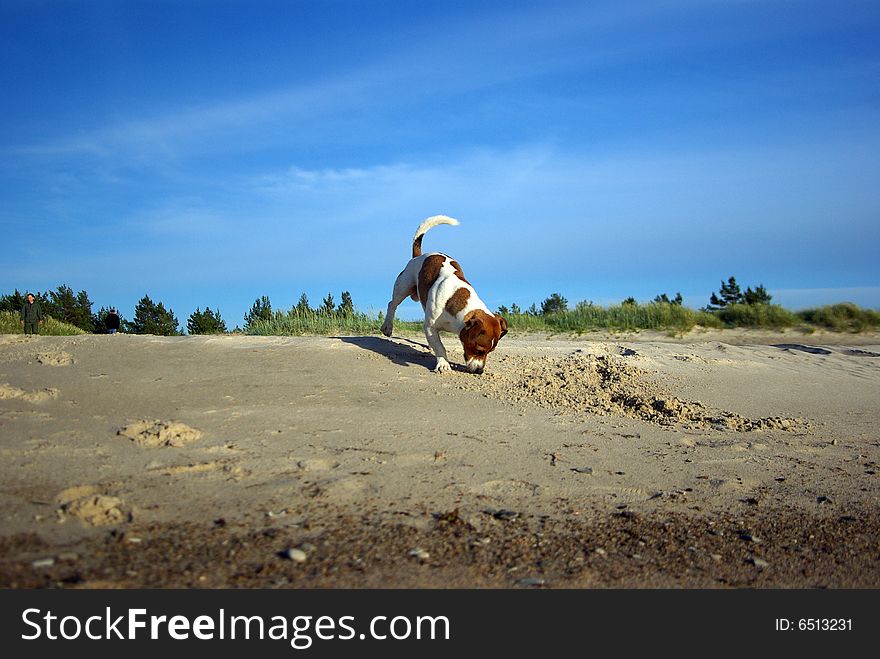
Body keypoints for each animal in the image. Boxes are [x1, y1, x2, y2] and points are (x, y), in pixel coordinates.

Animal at [380, 215, 508, 374]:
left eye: (490, 352)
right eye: (479, 350)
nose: (480, 371)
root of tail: (418, 257)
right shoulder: (430, 327)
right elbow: (440, 347)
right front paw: (443, 364)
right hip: (403, 287)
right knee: (392, 304)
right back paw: (387, 326)